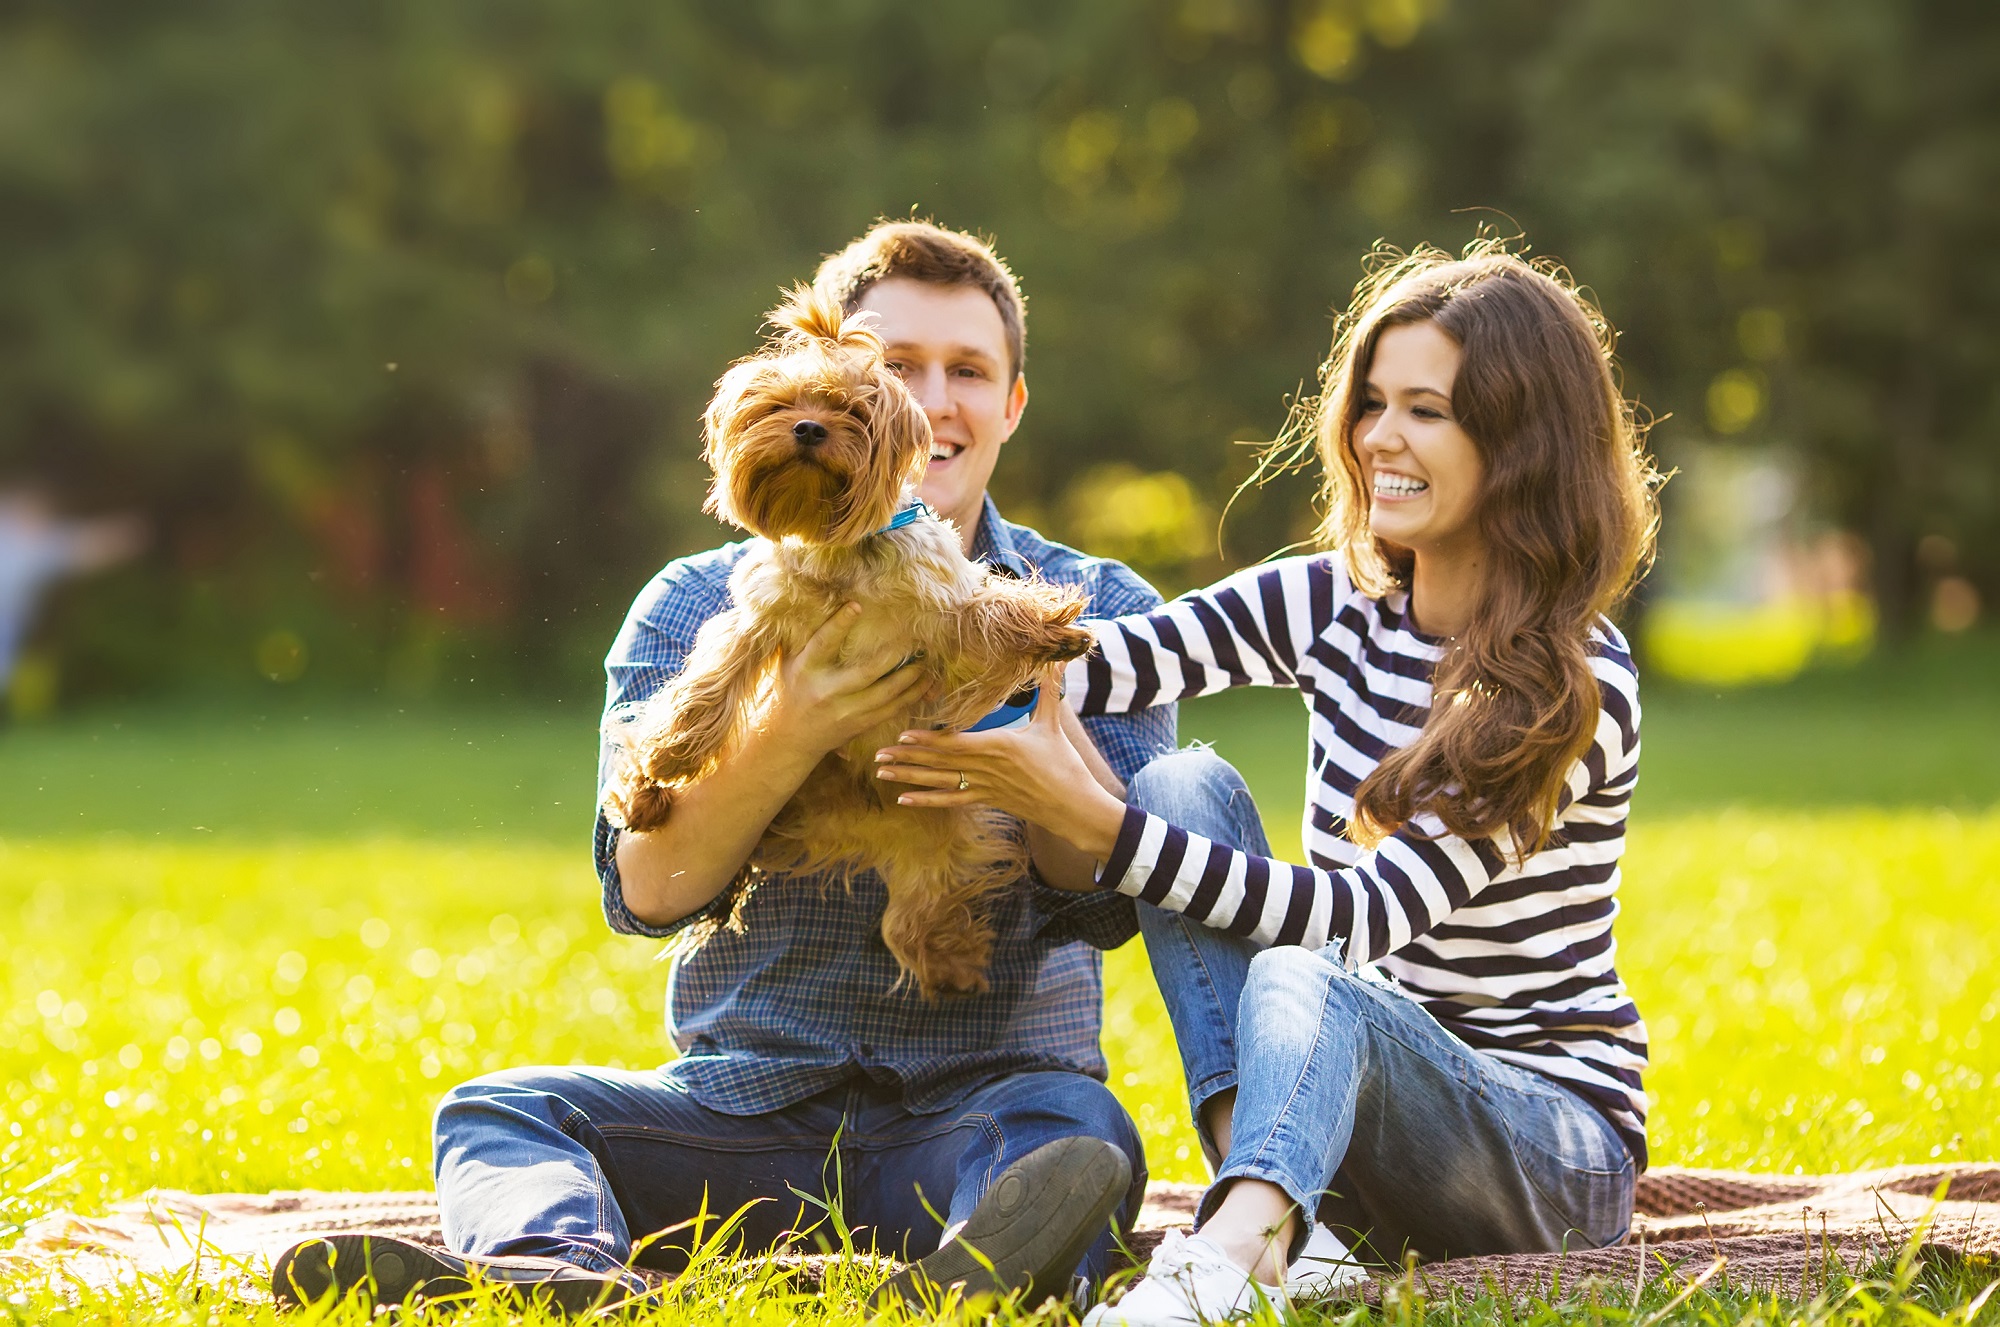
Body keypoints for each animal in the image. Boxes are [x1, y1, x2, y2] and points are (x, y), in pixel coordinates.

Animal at [604, 287, 1096, 995]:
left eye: (853, 412)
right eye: (780, 407)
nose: (809, 429)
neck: (842, 554)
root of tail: (860, 819)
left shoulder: (942, 613)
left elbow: (989, 611)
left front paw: (1052, 630)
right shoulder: (758, 619)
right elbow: (708, 684)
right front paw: (672, 753)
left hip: (934, 837)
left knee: (917, 911)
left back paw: (951, 963)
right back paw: (644, 794)